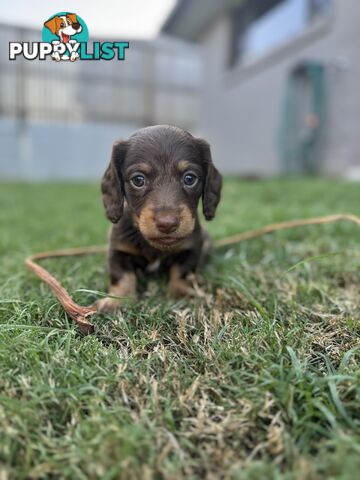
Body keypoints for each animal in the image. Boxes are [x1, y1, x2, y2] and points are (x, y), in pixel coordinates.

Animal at [97, 124, 222, 312]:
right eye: (138, 180)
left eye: (190, 178)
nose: (167, 224)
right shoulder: (119, 250)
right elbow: (122, 276)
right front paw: (117, 300)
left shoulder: (191, 247)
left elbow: (183, 271)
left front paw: (182, 293)